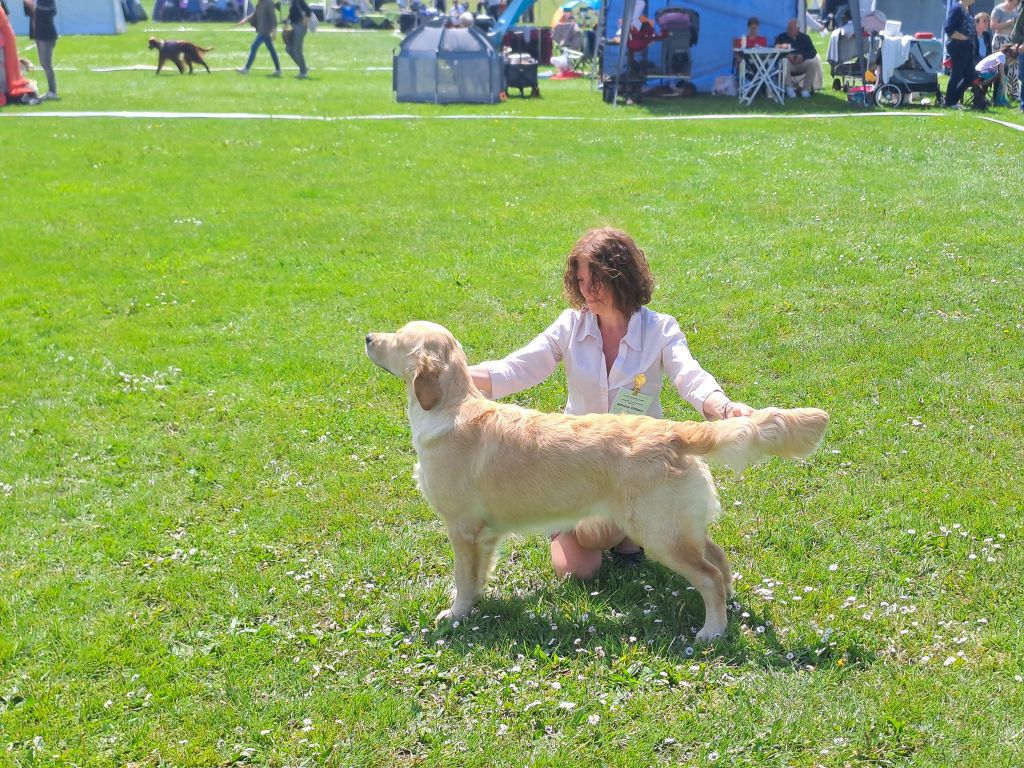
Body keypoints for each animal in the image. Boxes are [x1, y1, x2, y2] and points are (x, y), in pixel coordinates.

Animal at [364, 321, 827, 638]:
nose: (368, 336)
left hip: (658, 533)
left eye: (398, 338)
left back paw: (712, 630)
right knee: (719, 559)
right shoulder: (486, 533)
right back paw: (728, 607)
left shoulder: (461, 527)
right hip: (679, 526)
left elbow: (463, 578)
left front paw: (457, 614)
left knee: (709, 575)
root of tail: (674, 431)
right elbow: (477, 575)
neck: (450, 406)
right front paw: (475, 604)